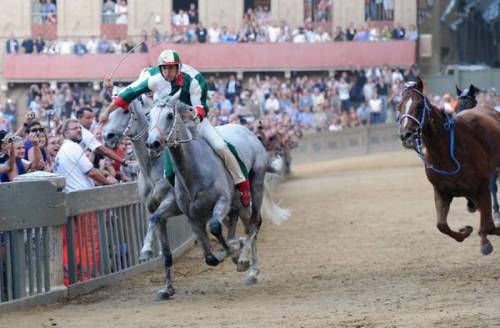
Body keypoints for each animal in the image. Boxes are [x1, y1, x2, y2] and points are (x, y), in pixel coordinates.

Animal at [102, 99, 183, 300]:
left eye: (125, 111)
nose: (107, 135)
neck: (152, 165)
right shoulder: (155, 209)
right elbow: (166, 253)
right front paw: (167, 290)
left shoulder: (171, 203)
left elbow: (152, 221)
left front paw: (146, 250)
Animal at [398, 77, 500, 256]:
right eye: (399, 106)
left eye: (419, 105)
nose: (406, 135)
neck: (448, 152)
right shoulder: (441, 191)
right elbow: (442, 226)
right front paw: (465, 230)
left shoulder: (481, 187)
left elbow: (488, 224)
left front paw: (485, 241)